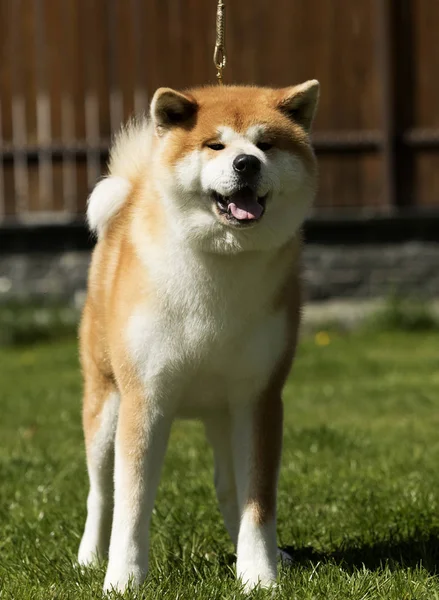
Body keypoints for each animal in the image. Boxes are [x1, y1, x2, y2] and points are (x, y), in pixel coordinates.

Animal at [78, 79, 320, 592]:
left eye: (266, 143)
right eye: (215, 145)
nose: (247, 163)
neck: (219, 269)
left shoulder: (260, 399)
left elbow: (257, 500)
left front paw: (259, 574)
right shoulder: (145, 398)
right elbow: (131, 502)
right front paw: (123, 579)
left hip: (224, 416)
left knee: (230, 489)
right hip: (105, 403)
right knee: (100, 492)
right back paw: (89, 556)